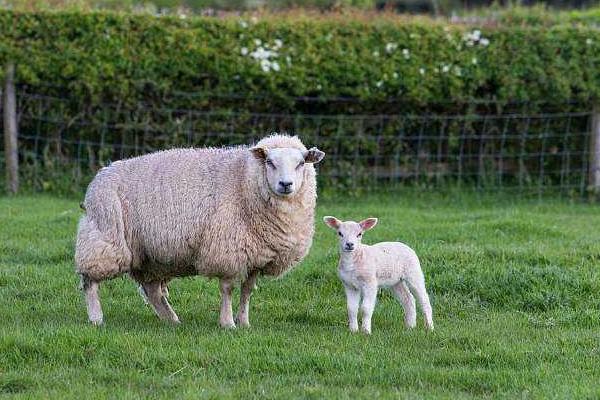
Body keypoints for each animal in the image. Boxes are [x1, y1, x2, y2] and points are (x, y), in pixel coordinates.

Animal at [78, 134, 328, 328]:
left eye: (300, 163)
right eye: (269, 162)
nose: (286, 184)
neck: (244, 180)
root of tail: (100, 176)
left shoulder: (257, 255)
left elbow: (247, 291)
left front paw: (244, 322)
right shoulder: (227, 250)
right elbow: (228, 289)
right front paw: (228, 323)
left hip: (150, 255)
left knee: (153, 291)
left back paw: (172, 320)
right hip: (105, 237)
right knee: (90, 280)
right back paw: (96, 318)